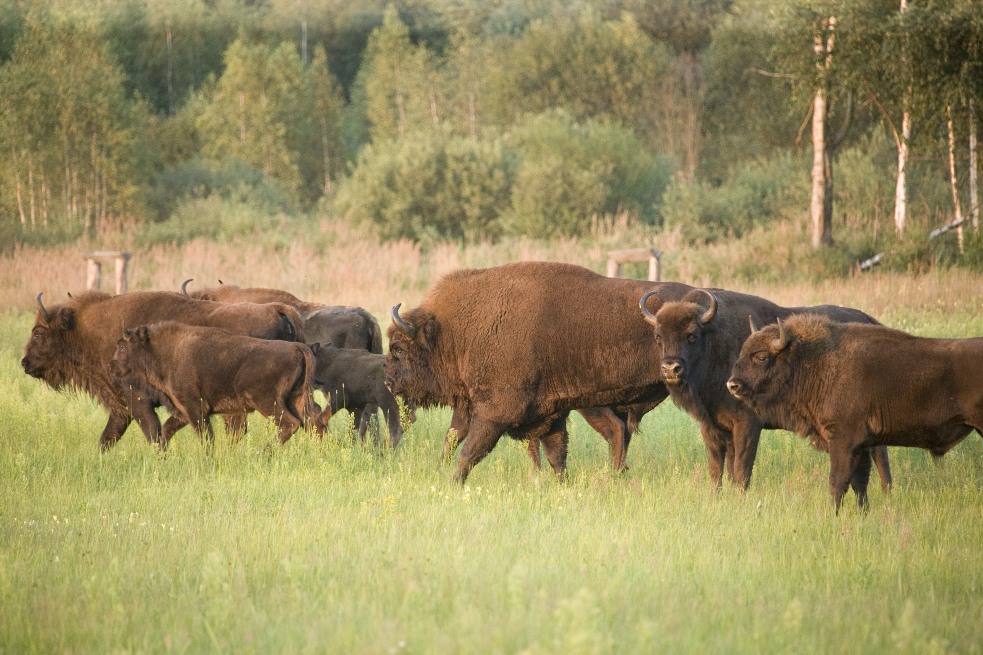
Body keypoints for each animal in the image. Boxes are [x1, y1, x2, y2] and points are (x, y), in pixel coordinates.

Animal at [108, 322, 322, 446]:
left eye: (122, 345)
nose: (111, 366)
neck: (168, 350)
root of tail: (297, 347)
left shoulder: (195, 408)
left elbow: (206, 437)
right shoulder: (183, 411)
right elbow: (166, 430)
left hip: (268, 402)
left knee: (291, 423)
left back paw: (265, 452)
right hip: (297, 398)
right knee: (313, 421)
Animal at [384, 260, 692, 482]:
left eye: (398, 348)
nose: (387, 380)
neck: (457, 330)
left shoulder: (494, 412)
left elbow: (469, 451)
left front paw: (453, 483)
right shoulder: (547, 415)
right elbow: (556, 456)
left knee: (618, 431)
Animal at [640, 284, 892, 494]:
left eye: (692, 335)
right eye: (658, 337)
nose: (670, 369)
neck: (714, 341)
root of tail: (869, 320)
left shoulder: (748, 423)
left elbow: (741, 468)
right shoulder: (712, 426)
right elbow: (718, 468)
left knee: (880, 453)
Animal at [724, 314, 983, 512]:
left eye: (761, 356)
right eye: (743, 351)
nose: (732, 385)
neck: (814, 362)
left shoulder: (843, 441)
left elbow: (837, 483)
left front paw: (833, 516)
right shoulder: (862, 446)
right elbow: (860, 484)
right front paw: (863, 514)